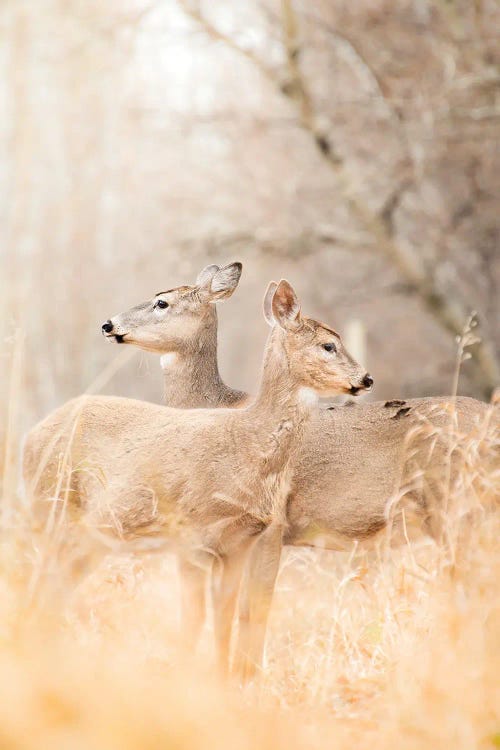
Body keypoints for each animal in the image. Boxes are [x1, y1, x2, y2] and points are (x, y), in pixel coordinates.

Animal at [23, 280, 372, 676]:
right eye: (328, 345)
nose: (365, 378)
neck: (246, 440)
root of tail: (28, 438)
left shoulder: (240, 543)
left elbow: (226, 615)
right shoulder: (190, 533)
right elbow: (196, 617)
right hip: (51, 510)